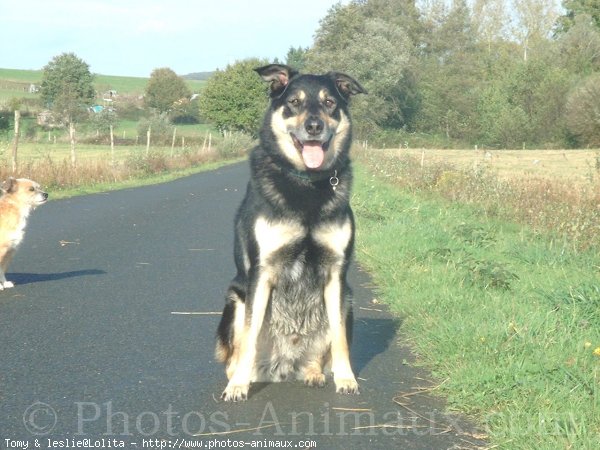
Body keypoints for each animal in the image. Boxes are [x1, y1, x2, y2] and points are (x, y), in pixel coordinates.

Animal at [216, 63, 366, 400]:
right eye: (294, 102)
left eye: (329, 102)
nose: (314, 127)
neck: (307, 183)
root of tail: (283, 367)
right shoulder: (262, 271)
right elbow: (249, 337)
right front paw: (238, 386)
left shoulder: (336, 273)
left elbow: (340, 337)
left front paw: (346, 378)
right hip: (235, 301)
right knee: (236, 352)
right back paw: (239, 377)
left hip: (348, 300)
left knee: (318, 354)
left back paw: (313, 373)